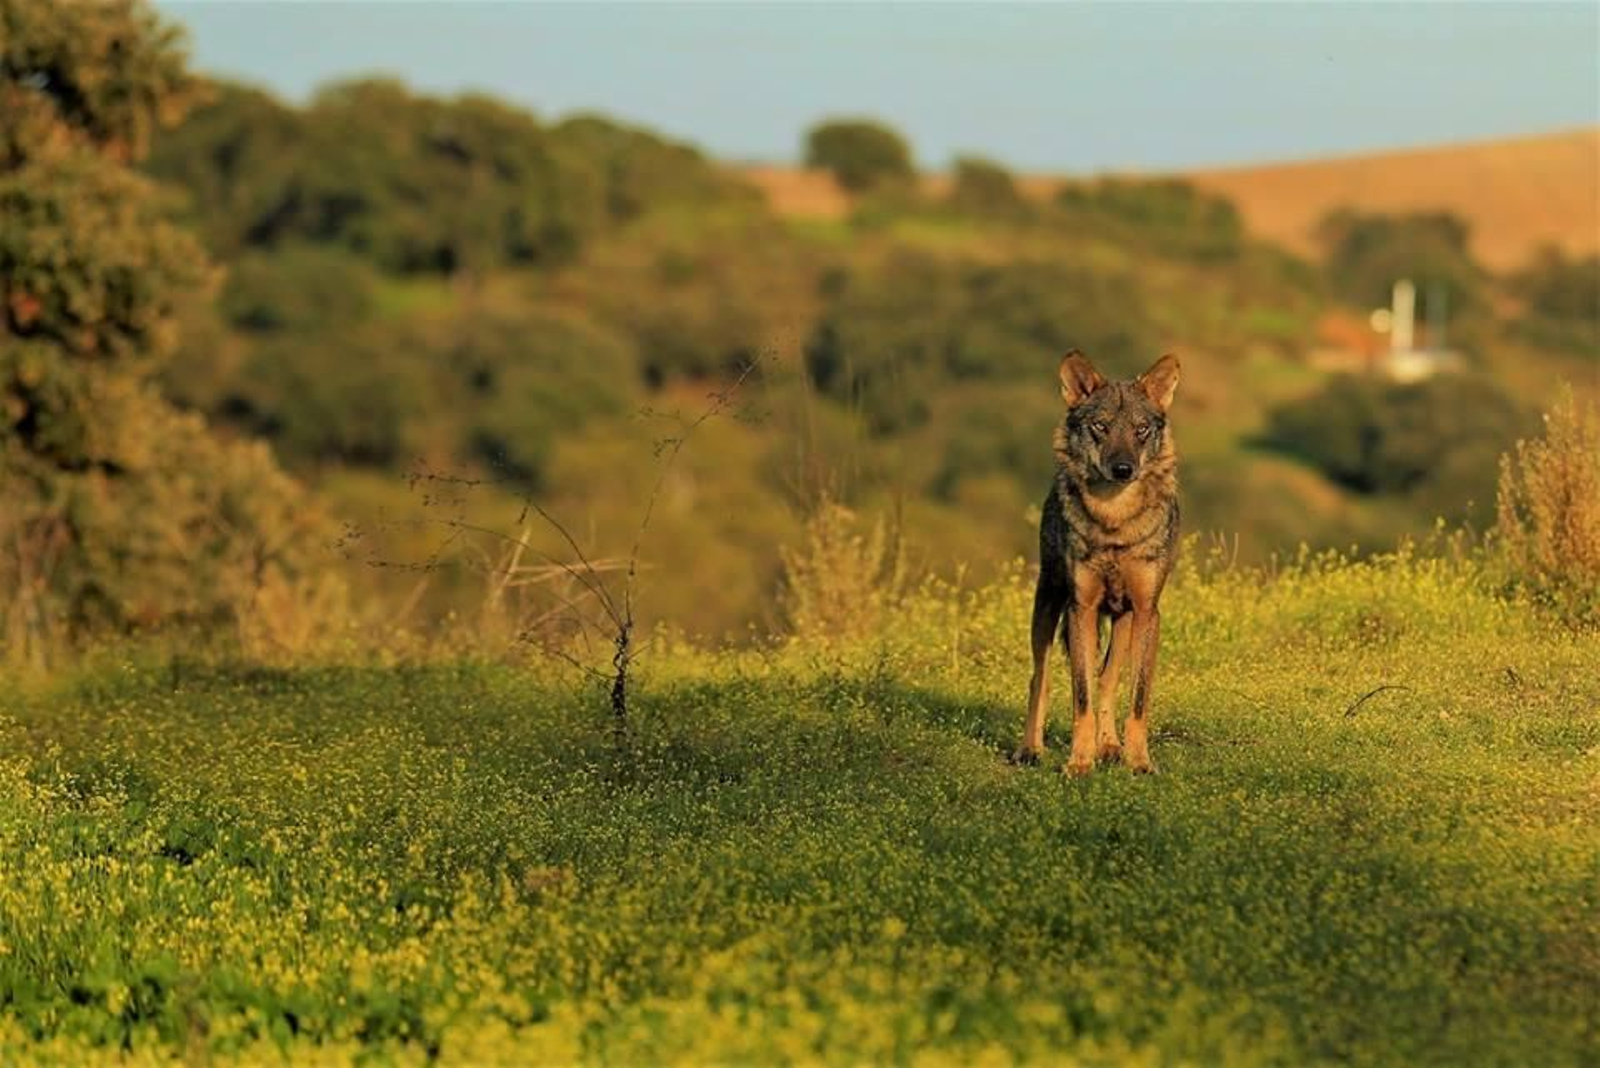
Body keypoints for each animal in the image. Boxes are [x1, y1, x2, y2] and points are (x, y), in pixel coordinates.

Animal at [1018, 350, 1181, 776]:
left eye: (1141, 429)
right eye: (1100, 427)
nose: (1123, 469)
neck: (1114, 524)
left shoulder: (1147, 611)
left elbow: (1136, 698)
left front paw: (1138, 761)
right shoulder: (1082, 607)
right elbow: (1081, 697)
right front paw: (1079, 762)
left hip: (1123, 621)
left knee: (1107, 680)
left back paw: (1109, 746)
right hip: (1048, 606)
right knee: (1040, 678)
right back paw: (1030, 749)